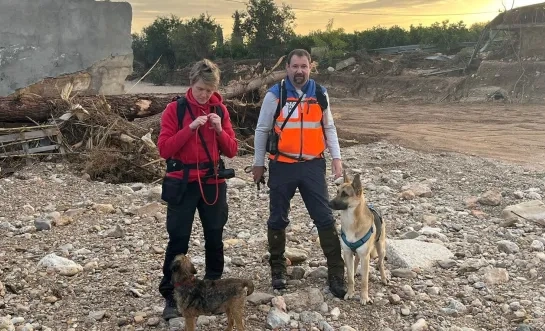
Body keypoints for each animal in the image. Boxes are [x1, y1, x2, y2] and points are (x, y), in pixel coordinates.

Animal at [328, 172, 386, 304]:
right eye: (337, 191)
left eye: (345, 194)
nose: (329, 203)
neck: (352, 222)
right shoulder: (347, 253)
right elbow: (350, 277)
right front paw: (350, 293)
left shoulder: (365, 257)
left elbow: (365, 281)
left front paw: (364, 297)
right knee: (355, 263)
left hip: (381, 249)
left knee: (380, 263)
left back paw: (384, 278)